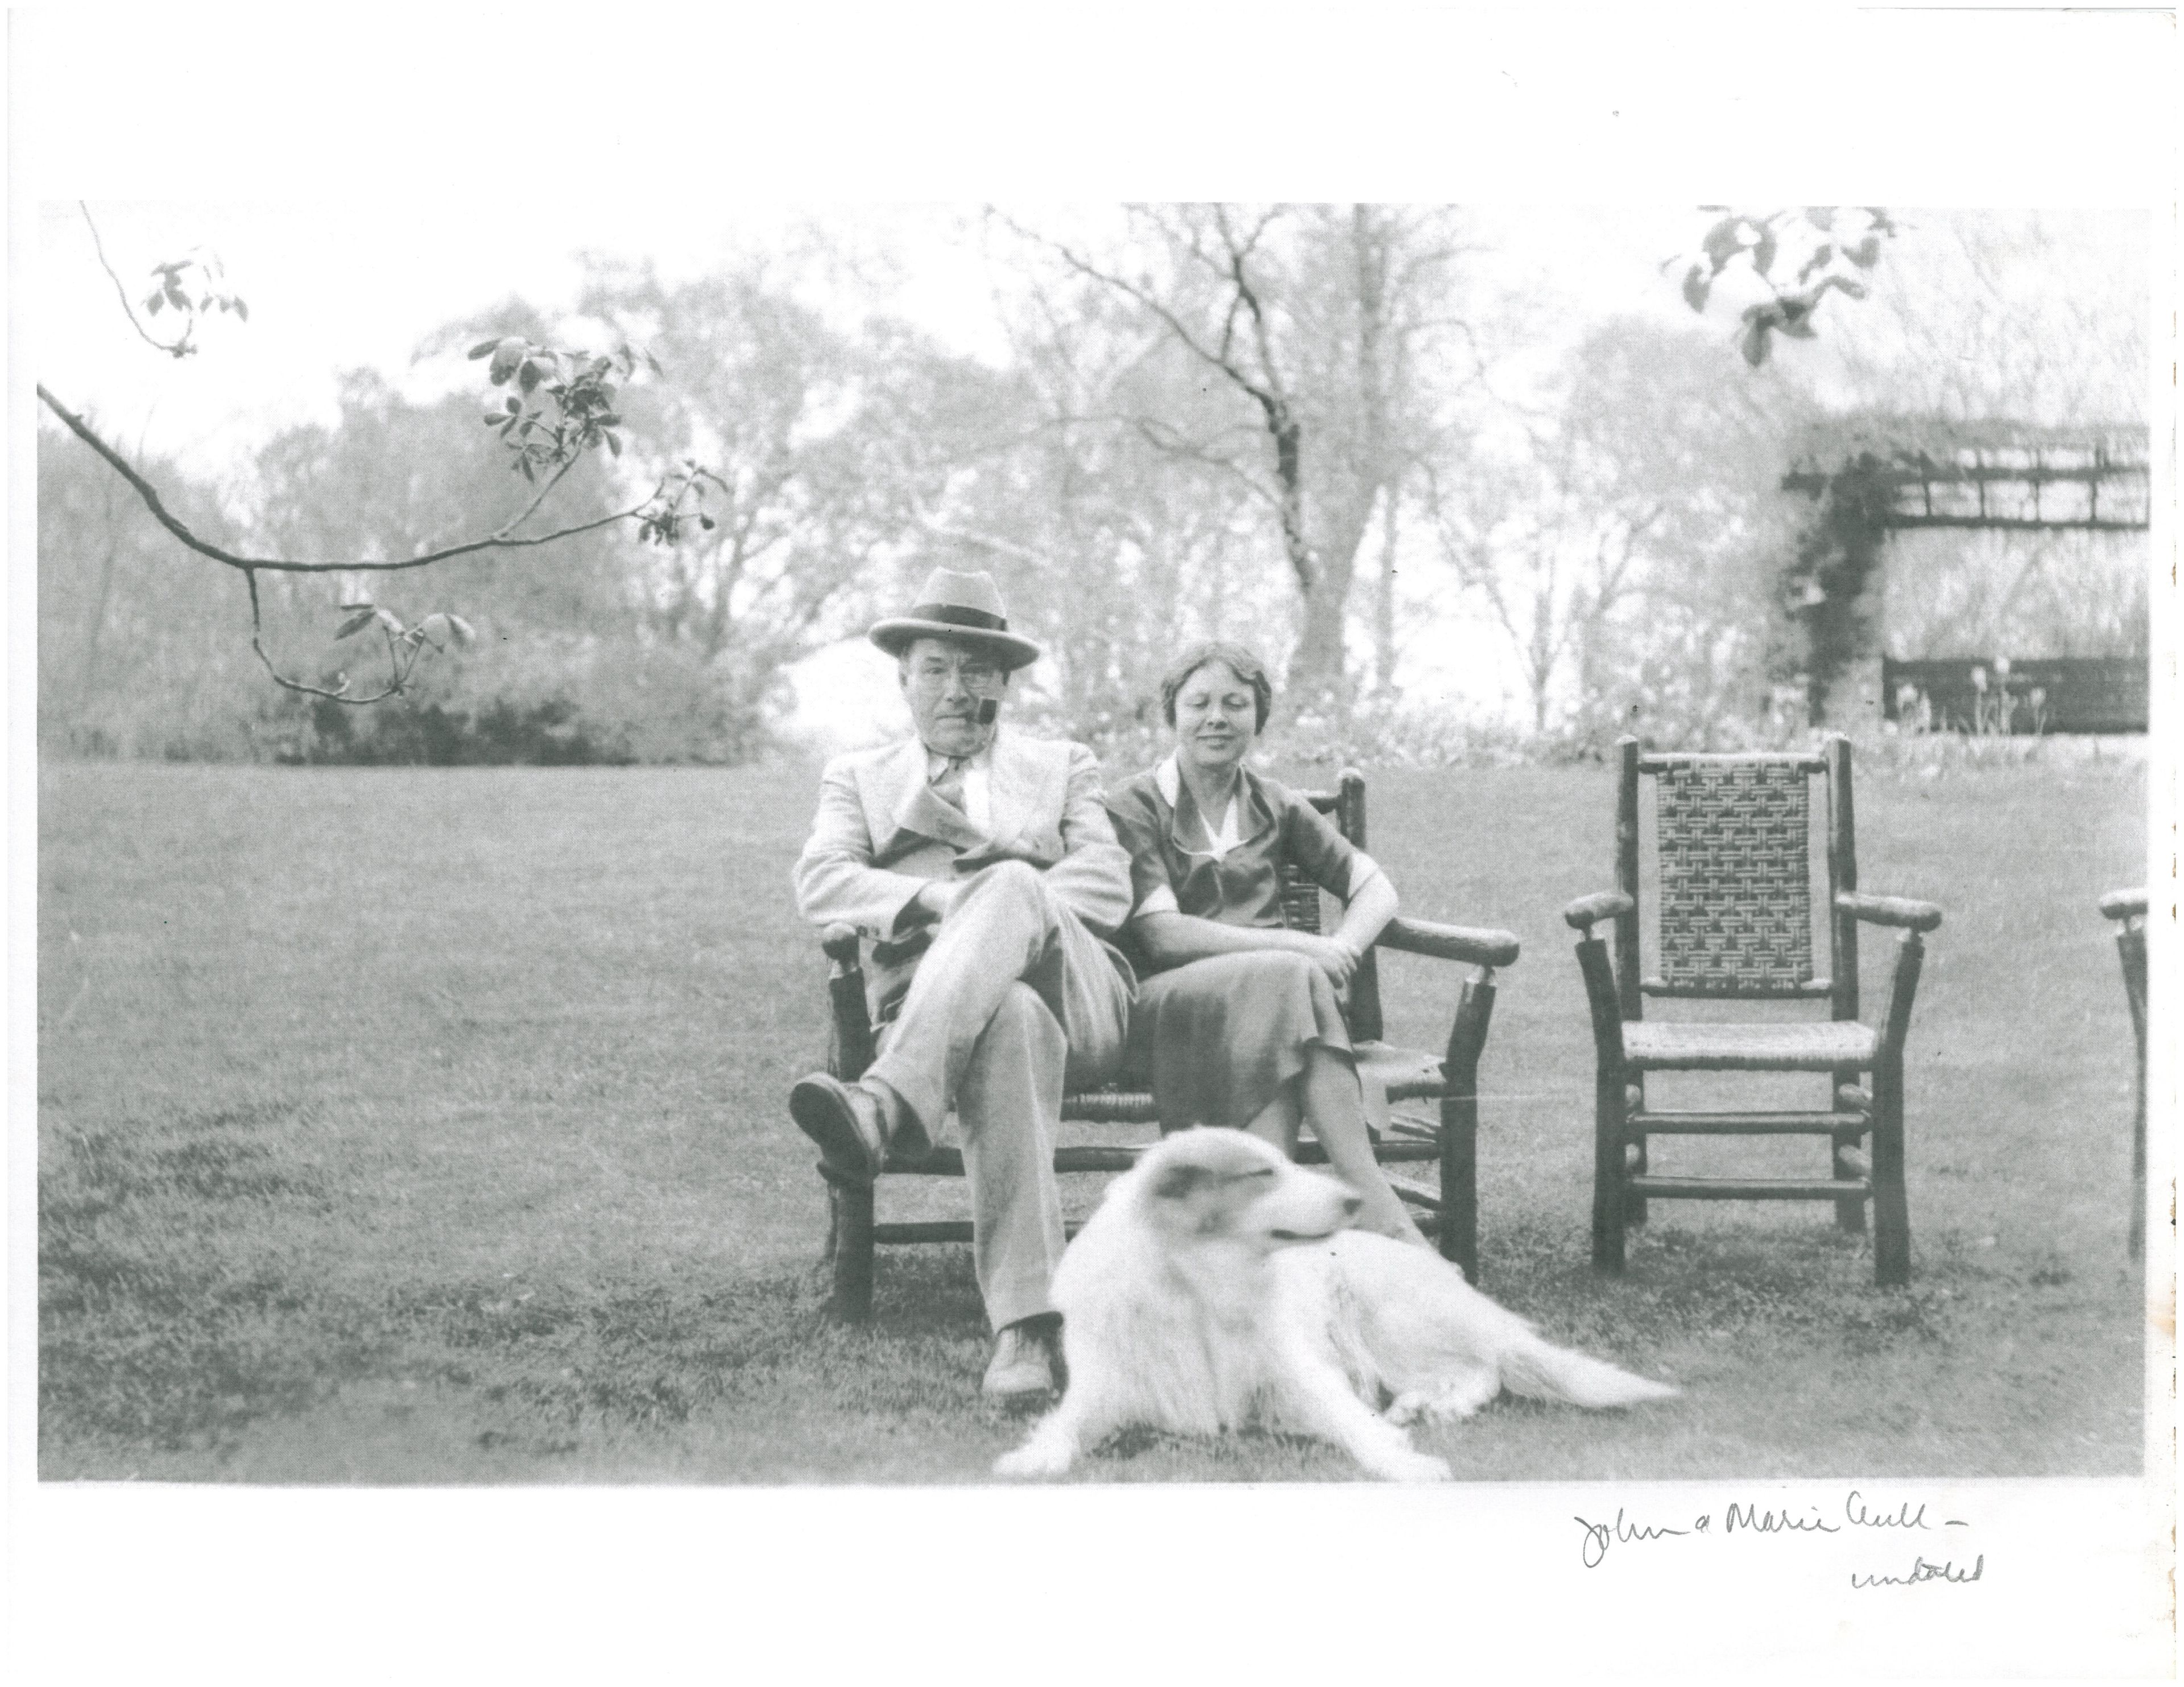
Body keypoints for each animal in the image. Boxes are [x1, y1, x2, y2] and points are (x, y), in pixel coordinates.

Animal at [1000, 1134, 1677, 1475]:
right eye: (1262, 1173)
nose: (1353, 1199)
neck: (1198, 1287)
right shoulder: (1106, 1390)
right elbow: (1062, 1429)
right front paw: (1031, 1459)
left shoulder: (1300, 1380)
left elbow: (1354, 1424)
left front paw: (1404, 1462)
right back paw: (1417, 1406)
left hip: (1388, 1314)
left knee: (1484, 1369)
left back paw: (1433, 1407)